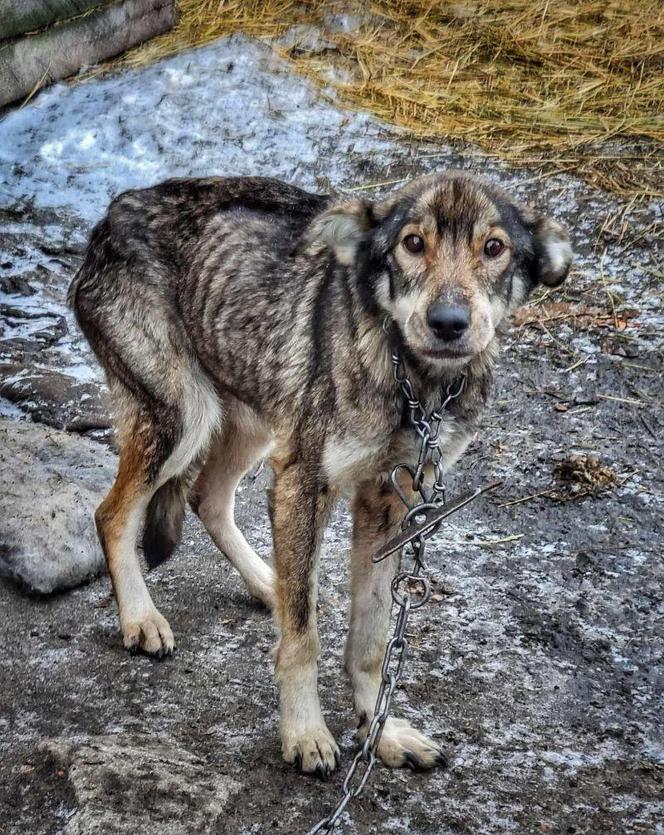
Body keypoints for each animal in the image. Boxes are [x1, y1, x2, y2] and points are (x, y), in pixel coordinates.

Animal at [68, 170, 572, 776]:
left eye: (493, 249)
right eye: (413, 243)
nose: (448, 324)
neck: (412, 382)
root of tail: (114, 211)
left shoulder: (389, 505)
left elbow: (370, 643)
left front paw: (381, 733)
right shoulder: (307, 483)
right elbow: (304, 642)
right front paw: (305, 733)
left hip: (256, 424)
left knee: (209, 501)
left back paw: (268, 583)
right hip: (187, 419)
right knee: (113, 513)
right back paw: (142, 619)